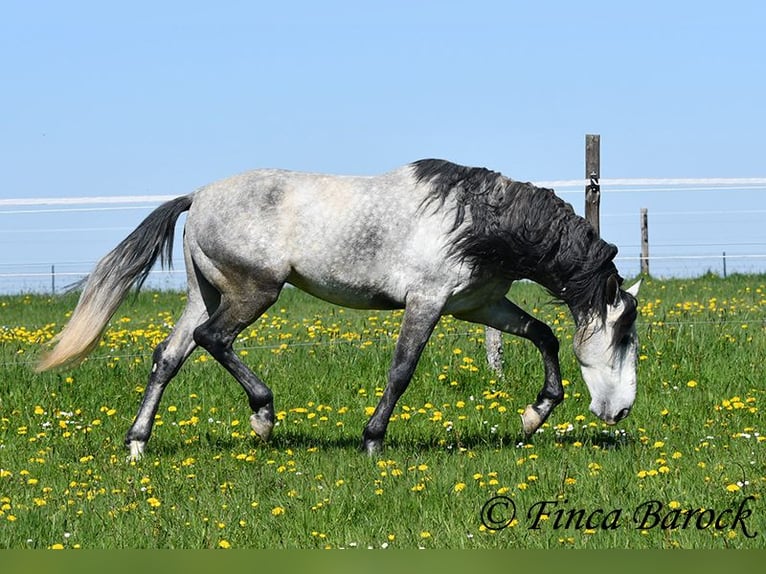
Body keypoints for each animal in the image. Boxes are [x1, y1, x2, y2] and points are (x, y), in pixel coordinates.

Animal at [37, 159, 640, 459]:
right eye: (624, 335)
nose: (621, 411)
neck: (476, 221)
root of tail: (199, 196)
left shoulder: (479, 305)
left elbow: (545, 336)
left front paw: (534, 415)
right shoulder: (426, 303)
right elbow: (401, 371)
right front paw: (372, 441)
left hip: (202, 294)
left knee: (168, 356)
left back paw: (138, 445)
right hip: (255, 292)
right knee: (214, 340)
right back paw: (263, 418)